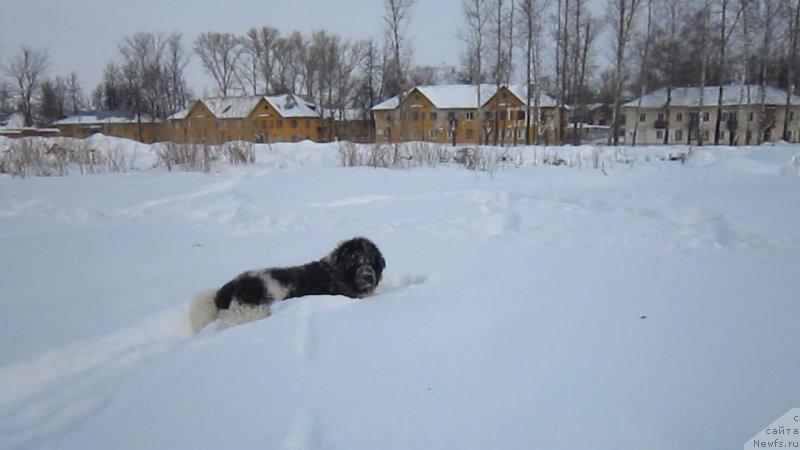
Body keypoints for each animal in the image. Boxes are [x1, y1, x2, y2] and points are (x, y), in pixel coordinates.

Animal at [191, 237, 384, 332]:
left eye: (369, 259)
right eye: (353, 261)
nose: (368, 276)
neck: (336, 272)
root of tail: (228, 287)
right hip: (252, 309)